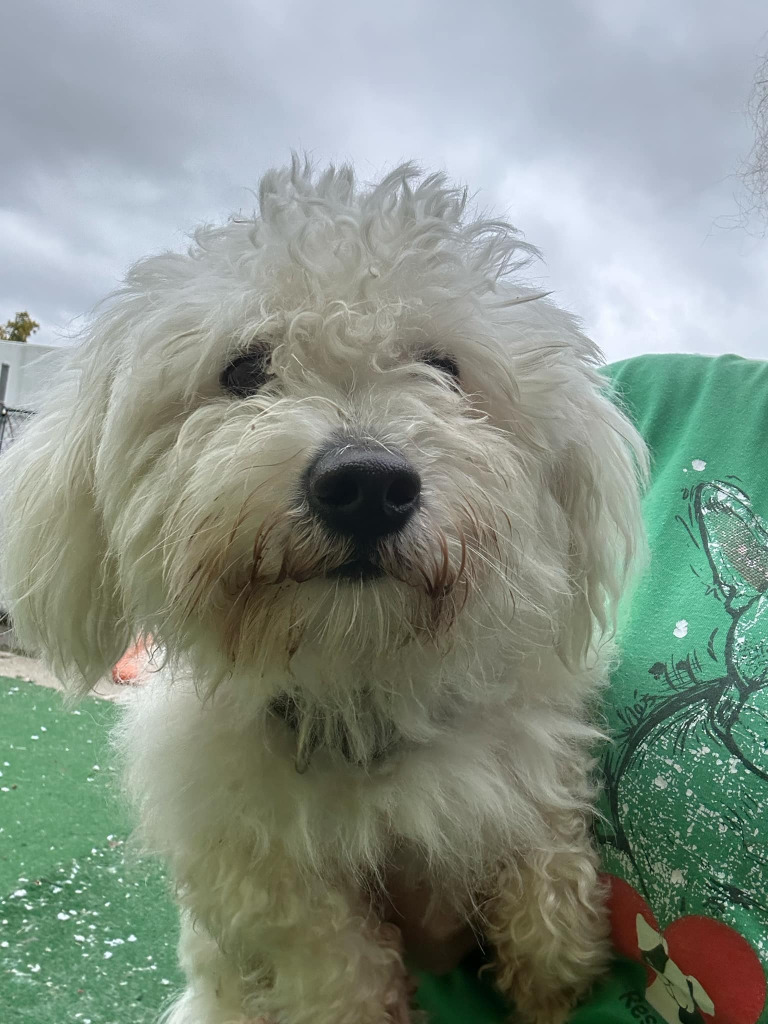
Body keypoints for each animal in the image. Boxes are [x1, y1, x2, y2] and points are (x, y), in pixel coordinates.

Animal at [1, 161, 651, 1024]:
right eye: (243, 370)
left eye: (445, 367)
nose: (367, 485)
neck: (357, 679)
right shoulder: (252, 858)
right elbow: (328, 953)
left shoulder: (525, 751)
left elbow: (544, 848)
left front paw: (558, 968)